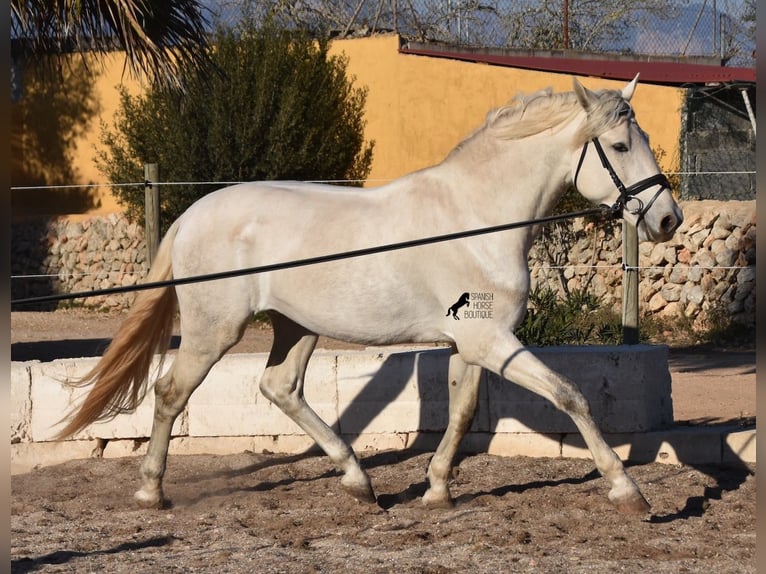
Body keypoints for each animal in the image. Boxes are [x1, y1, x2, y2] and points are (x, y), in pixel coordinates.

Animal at [60, 75, 684, 512]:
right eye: (620, 145)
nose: (669, 220)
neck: (475, 220)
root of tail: (192, 214)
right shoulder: (491, 341)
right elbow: (571, 396)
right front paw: (628, 491)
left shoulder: (472, 344)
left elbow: (461, 414)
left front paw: (436, 491)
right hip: (216, 329)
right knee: (170, 392)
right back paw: (151, 492)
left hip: (296, 326)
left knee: (280, 387)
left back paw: (359, 482)